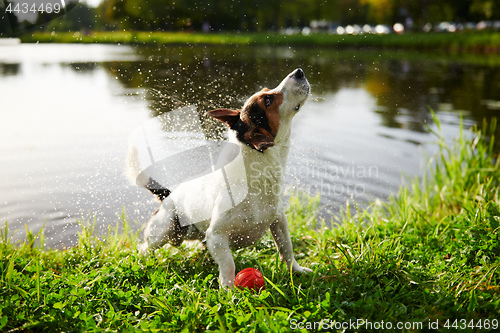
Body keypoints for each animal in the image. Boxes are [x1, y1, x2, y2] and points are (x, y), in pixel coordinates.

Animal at [133, 67, 312, 286]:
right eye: (268, 99)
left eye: (266, 91)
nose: (299, 71)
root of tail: (168, 195)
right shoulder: (216, 236)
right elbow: (228, 265)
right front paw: (228, 290)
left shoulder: (279, 221)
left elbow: (287, 249)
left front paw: (297, 271)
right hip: (164, 232)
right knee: (145, 248)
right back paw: (141, 262)